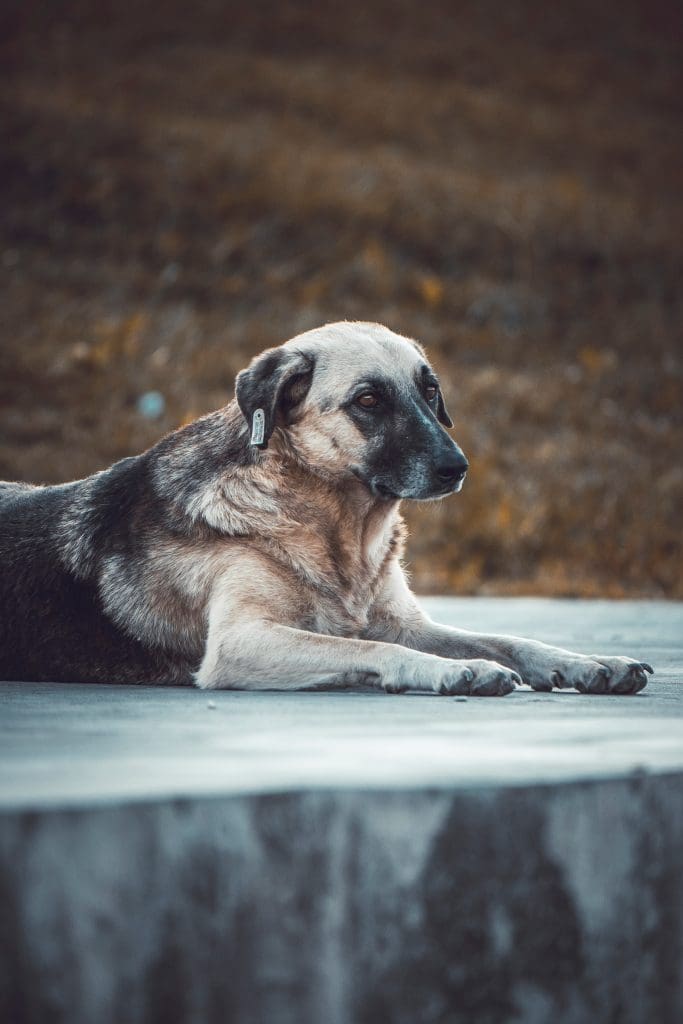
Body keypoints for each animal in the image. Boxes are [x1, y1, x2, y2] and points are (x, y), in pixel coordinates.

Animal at [0, 321, 651, 696]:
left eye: (430, 391)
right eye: (368, 400)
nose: (457, 468)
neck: (338, 533)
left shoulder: (408, 622)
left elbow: (508, 639)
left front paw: (586, 662)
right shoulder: (242, 642)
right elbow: (368, 648)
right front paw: (451, 672)